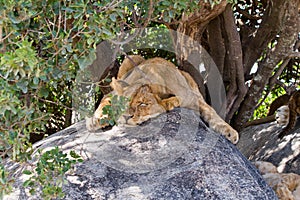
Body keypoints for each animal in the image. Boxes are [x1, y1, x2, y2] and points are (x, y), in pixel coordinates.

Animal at [86, 54, 239, 144]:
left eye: (143, 104)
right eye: (123, 103)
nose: (126, 116)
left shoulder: (194, 99)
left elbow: (212, 113)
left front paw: (230, 132)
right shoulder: (111, 93)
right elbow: (105, 102)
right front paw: (95, 120)